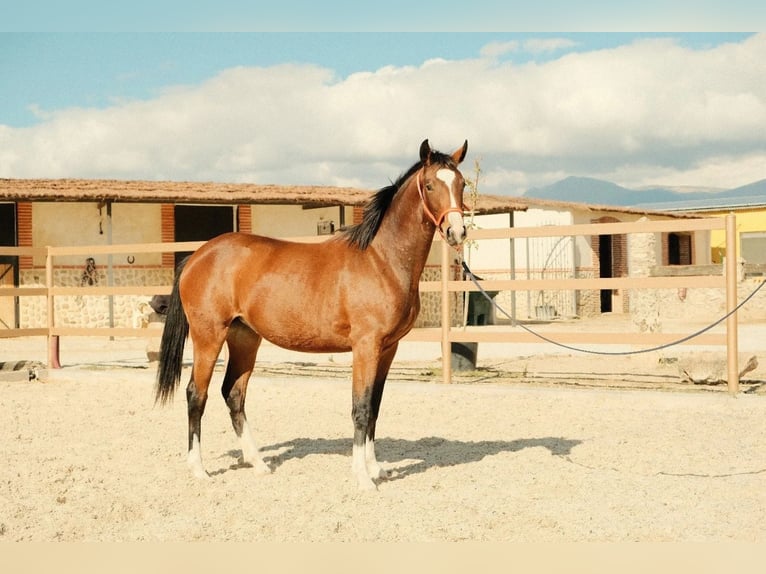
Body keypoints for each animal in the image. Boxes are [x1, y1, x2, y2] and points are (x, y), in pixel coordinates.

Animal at [155, 139, 469, 490]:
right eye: (429, 185)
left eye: (461, 184)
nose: (457, 232)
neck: (381, 260)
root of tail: (197, 256)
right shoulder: (366, 346)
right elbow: (361, 407)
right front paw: (363, 477)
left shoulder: (388, 348)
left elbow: (374, 407)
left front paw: (376, 469)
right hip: (208, 336)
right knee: (197, 394)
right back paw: (199, 468)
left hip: (244, 338)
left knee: (233, 394)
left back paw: (258, 463)